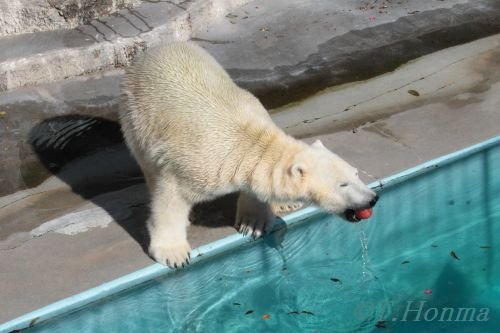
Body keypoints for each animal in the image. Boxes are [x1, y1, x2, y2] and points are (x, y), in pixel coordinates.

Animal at [120, 41, 378, 266]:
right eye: (342, 185)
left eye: (356, 173)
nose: (372, 199)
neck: (244, 142)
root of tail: (154, 49)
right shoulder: (190, 164)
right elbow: (170, 200)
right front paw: (173, 254)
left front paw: (254, 223)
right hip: (136, 115)